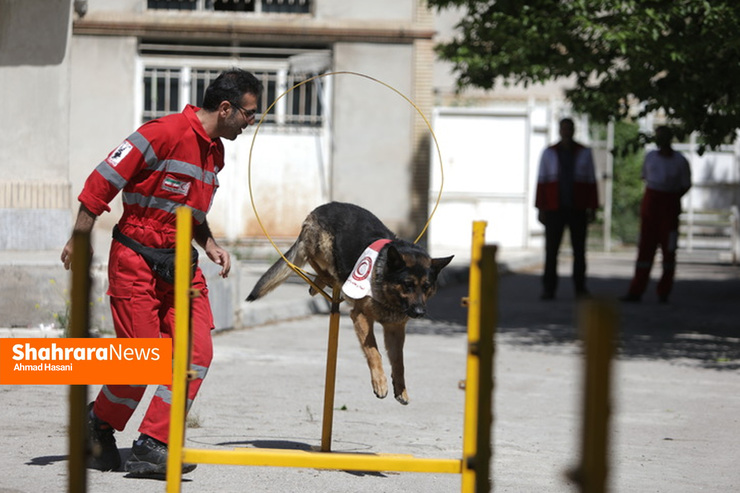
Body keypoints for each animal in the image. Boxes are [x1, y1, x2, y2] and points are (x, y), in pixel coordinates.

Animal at [249, 201, 454, 404]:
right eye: (407, 284)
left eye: (426, 286)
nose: (419, 313)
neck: (385, 289)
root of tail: (320, 208)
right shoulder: (360, 316)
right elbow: (373, 351)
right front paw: (380, 383)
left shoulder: (394, 329)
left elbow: (399, 361)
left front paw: (401, 389)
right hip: (323, 247)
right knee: (315, 261)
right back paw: (326, 280)